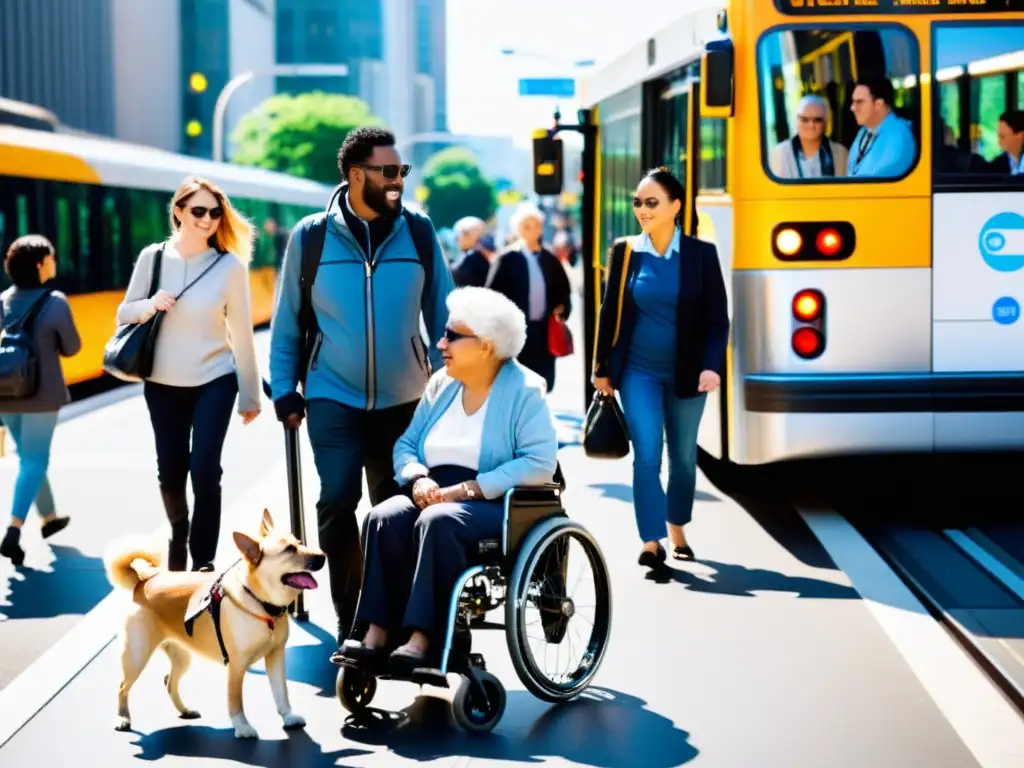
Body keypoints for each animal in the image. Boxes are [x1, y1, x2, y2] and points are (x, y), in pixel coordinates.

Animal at [103, 512, 323, 741]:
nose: (322, 556)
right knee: (123, 687)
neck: (261, 604)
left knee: (169, 682)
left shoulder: (276, 656)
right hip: (136, 656)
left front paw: (288, 716)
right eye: (289, 550)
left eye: (300, 543)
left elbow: (281, 692)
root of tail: (143, 581)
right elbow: (235, 702)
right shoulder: (236, 666)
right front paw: (242, 727)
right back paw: (122, 718)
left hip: (182, 657)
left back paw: (185, 710)